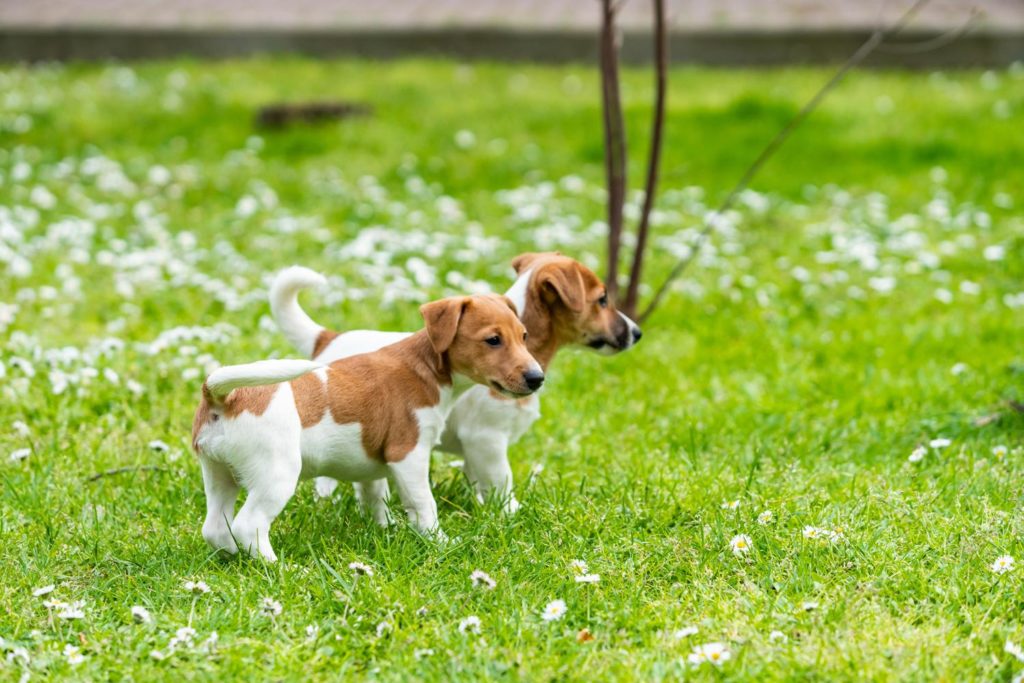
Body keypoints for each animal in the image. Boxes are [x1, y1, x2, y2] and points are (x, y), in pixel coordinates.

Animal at [192, 294, 544, 561]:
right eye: (493, 340)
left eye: (524, 336)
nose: (537, 378)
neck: (426, 366)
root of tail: (224, 396)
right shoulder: (409, 455)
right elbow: (423, 504)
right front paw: (439, 542)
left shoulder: (370, 466)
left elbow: (375, 498)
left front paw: (386, 530)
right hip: (276, 475)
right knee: (248, 525)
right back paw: (278, 567)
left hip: (218, 474)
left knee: (216, 528)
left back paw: (233, 556)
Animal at [272, 253, 638, 516]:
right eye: (602, 300)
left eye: (522, 336)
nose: (637, 332)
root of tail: (326, 340)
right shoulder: (487, 438)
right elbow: (502, 479)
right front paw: (512, 513)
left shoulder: (478, 448)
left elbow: (482, 481)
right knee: (325, 479)